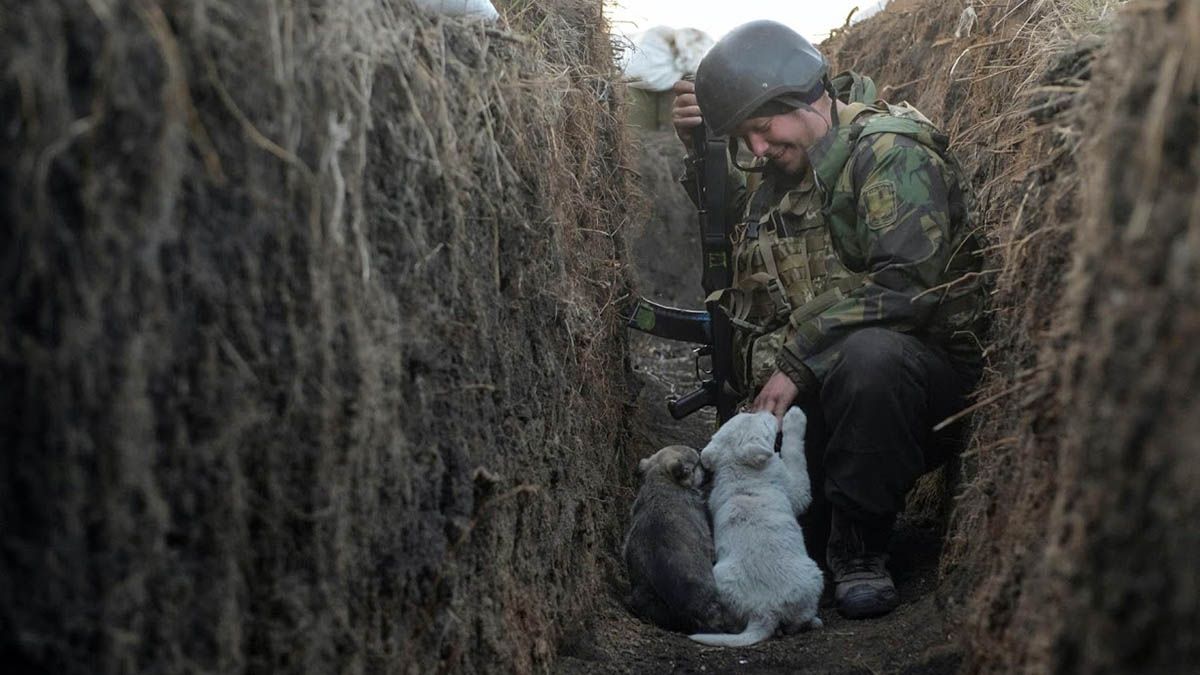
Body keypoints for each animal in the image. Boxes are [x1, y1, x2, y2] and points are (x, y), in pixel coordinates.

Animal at [686, 408, 825, 643]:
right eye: (762, 421)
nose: (767, 410)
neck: (739, 471)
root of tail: (764, 612)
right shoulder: (796, 489)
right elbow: (794, 454)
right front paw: (795, 417)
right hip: (812, 574)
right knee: (797, 621)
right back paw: (813, 621)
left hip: (721, 578)